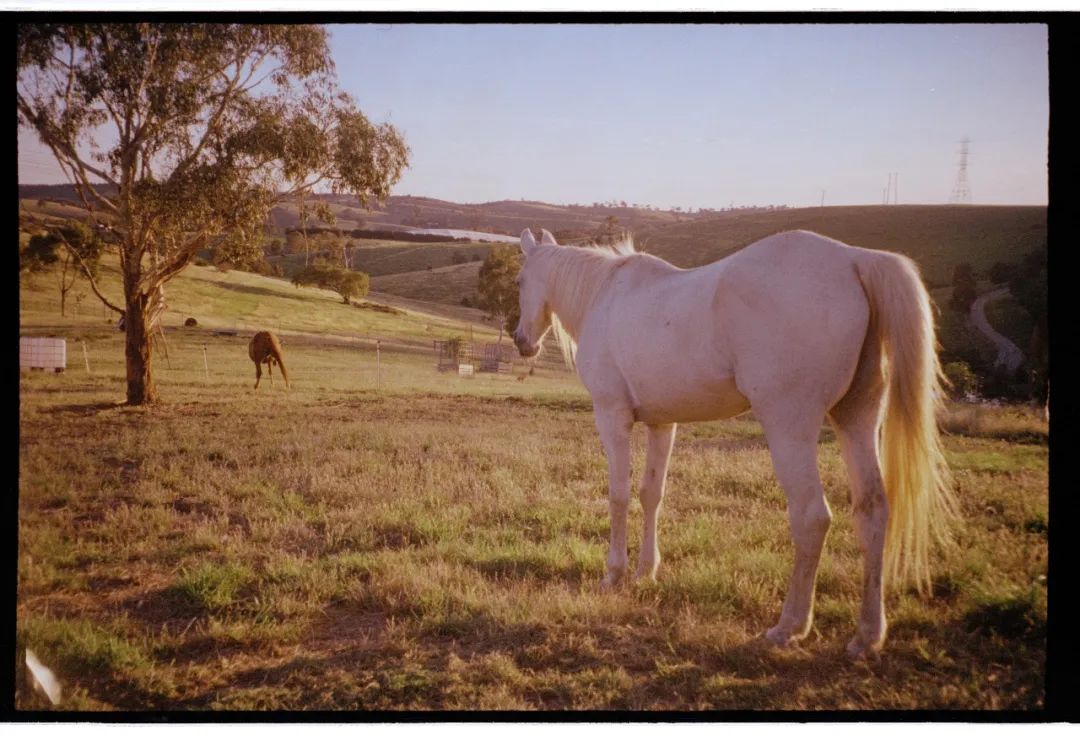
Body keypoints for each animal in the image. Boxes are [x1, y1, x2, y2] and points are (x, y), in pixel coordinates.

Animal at [509, 226, 959, 657]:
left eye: (520, 280)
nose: (521, 341)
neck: (606, 295)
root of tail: (854, 260)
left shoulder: (612, 416)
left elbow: (618, 495)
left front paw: (614, 574)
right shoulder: (662, 424)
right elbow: (651, 494)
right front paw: (646, 571)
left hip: (789, 425)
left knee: (812, 517)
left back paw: (788, 627)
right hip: (857, 420)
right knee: (873, 512)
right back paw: (866, 636)